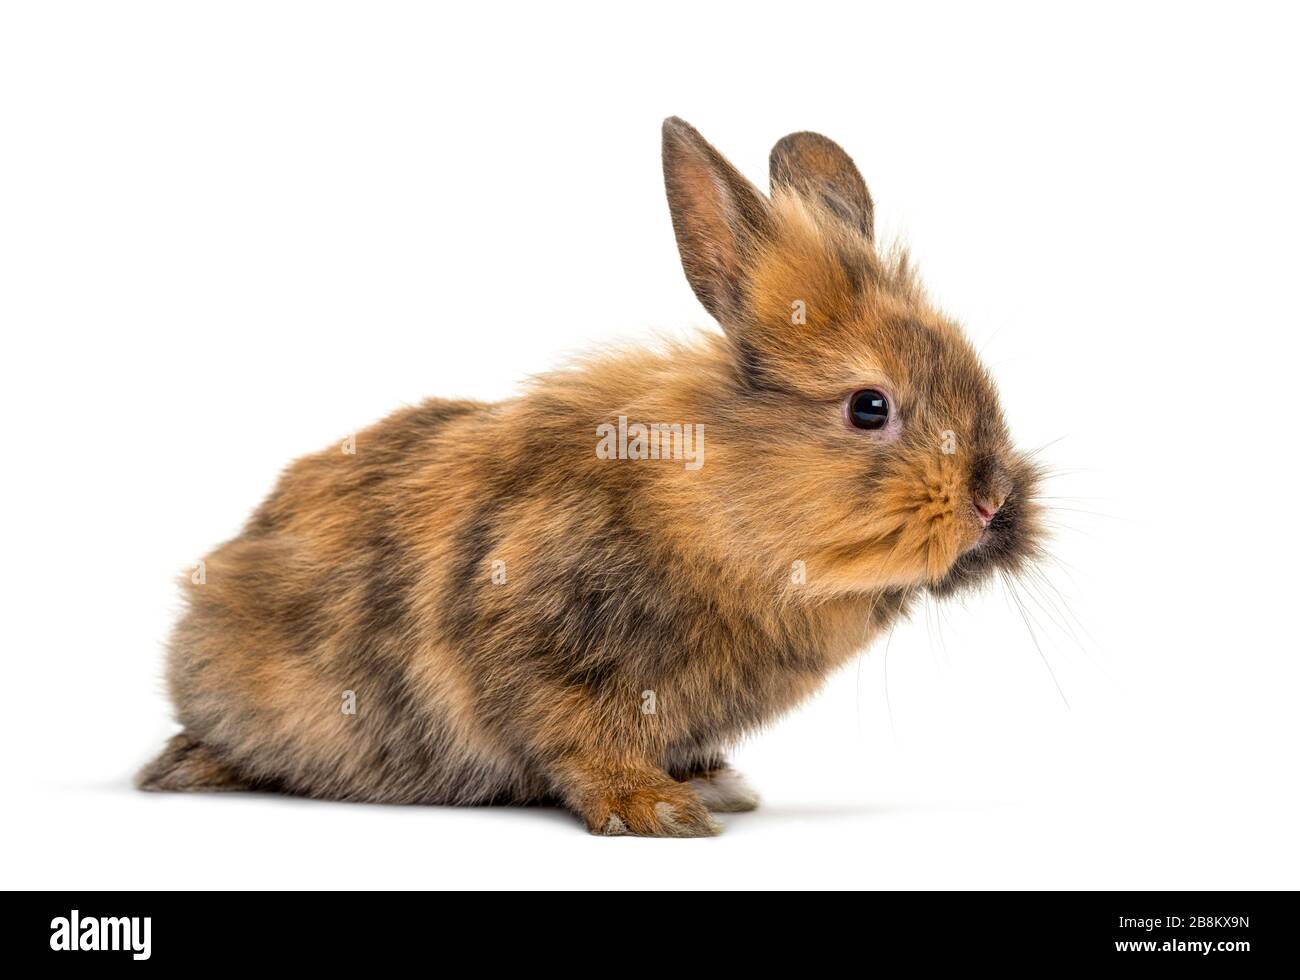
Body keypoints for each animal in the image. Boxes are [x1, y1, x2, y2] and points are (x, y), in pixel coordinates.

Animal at [138, 117, 1046, 836]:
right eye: (868, 407)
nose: (992, 501)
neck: (706, 506)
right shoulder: (549, 654)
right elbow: (583, 743)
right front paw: (659, 812)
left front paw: (712, 784)